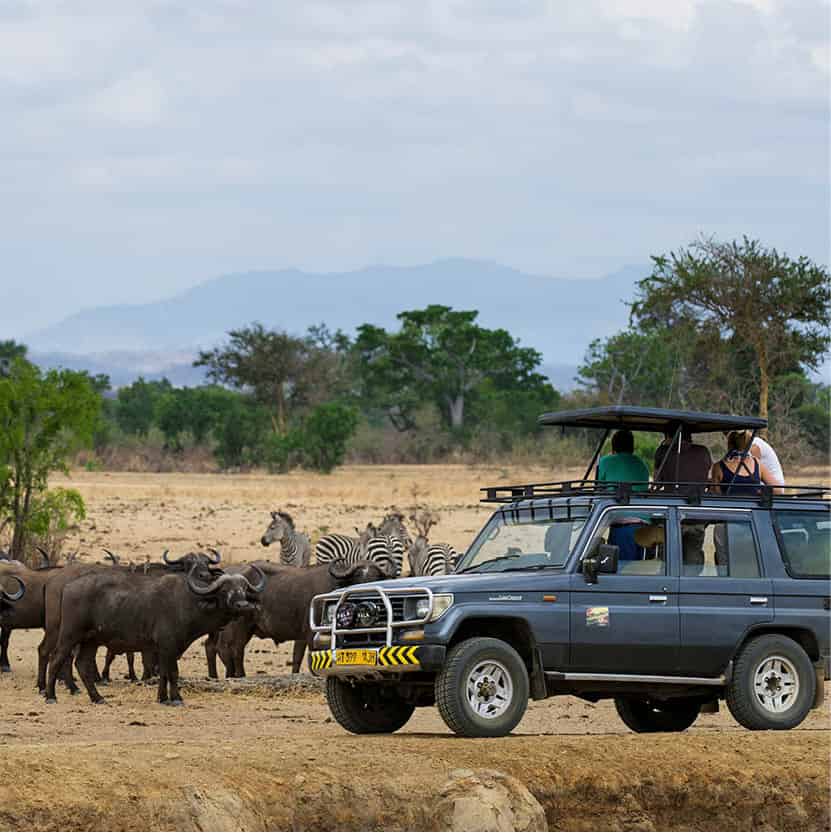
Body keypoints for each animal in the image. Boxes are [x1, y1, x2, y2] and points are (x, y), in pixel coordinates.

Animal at [46, 560, 266, 704]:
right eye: (225, 589)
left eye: (243, 589)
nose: (243, 605)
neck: (187, 603)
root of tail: (68, 587)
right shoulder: (168, 645)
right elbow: (173, 672)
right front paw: (176, 699)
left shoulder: (165, 649)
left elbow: (164, 673)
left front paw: (162, 698)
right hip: (69, 635)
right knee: (56, 659)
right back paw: (50, 696)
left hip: (91, 641)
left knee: (82, 664)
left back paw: (97, 698)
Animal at [205, 560, 386, 676]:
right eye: (358, 578)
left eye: (376, 577)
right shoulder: (312, 634)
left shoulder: (303, 636)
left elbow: (297, 657)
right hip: (240, 626)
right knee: (233, 649)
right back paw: (238, 675)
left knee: (216, 647)